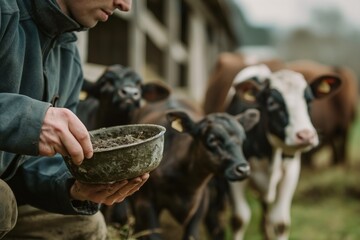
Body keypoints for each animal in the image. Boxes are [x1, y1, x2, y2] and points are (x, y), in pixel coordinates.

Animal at [204, 62, 342, 239]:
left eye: (309, 101)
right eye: (272, 103)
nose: (306, 135)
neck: (268, 152)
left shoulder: (291, 172)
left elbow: (280, 223)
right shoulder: (234, 174)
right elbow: (239, 219)